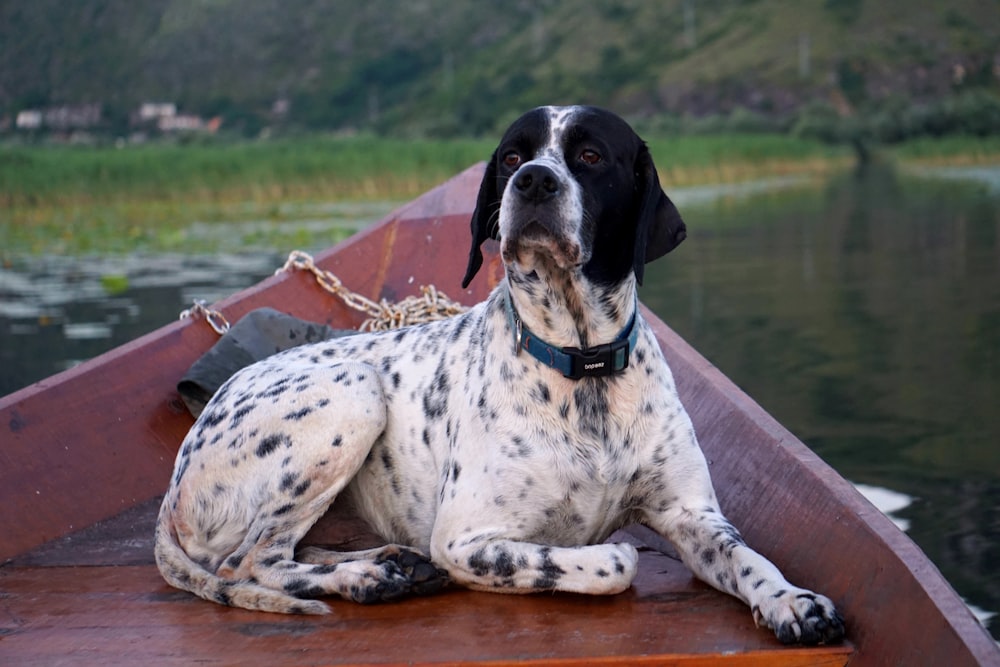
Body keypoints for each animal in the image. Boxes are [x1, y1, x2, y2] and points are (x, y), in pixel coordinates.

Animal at [154, 107, 844, 644]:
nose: (532, 180)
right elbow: (602, 563)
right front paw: (605, 555)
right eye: (512, 155)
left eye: (591, 155)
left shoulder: (693, 516)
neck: (583, 367)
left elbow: (751, 558)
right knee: (251, 562)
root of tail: (177, 476)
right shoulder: (466, 538)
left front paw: (794, 601)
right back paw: (368, 578)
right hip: (355, 395)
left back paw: (388, 564)